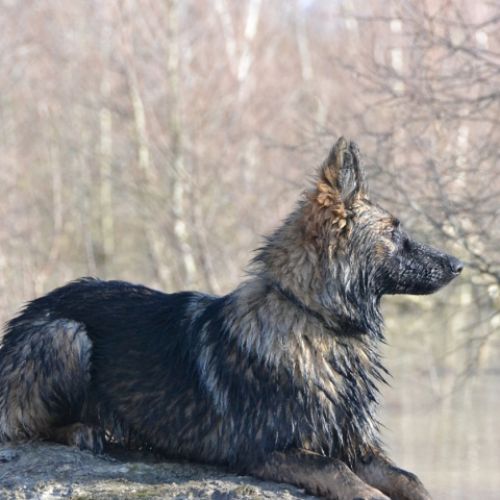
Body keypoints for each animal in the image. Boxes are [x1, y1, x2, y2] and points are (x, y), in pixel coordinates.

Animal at [0, 138, 462, 499]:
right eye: (394, 233)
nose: (458, 265)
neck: (313, 318)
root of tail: (34, 306)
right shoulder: (271, 450)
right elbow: (343, 475)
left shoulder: (355, 443)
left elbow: (411, 479)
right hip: (67, 333)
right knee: (22, 424)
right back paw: (81, 430)